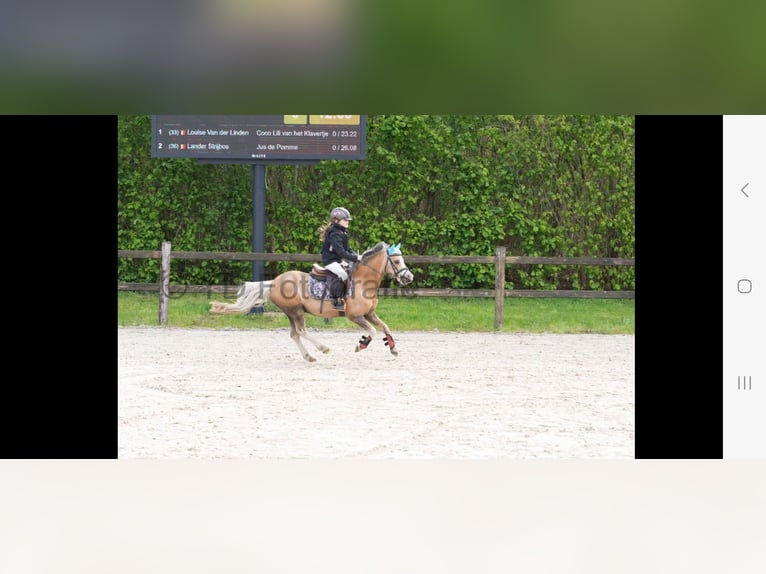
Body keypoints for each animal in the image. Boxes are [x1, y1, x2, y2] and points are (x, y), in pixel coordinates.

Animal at [208, 244, 414, 364]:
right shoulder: (354, 316)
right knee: (301, 331)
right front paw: (361, 345)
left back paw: (309, 356)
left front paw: (393, 348)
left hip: (292, 313)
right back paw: (323, 348)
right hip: (296, 311)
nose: (409, 277)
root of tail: (274, 282)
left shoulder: (369, 314)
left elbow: (385, 327)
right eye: (396, 260)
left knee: (294, 334)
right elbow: (372, 331)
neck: (363, 281)